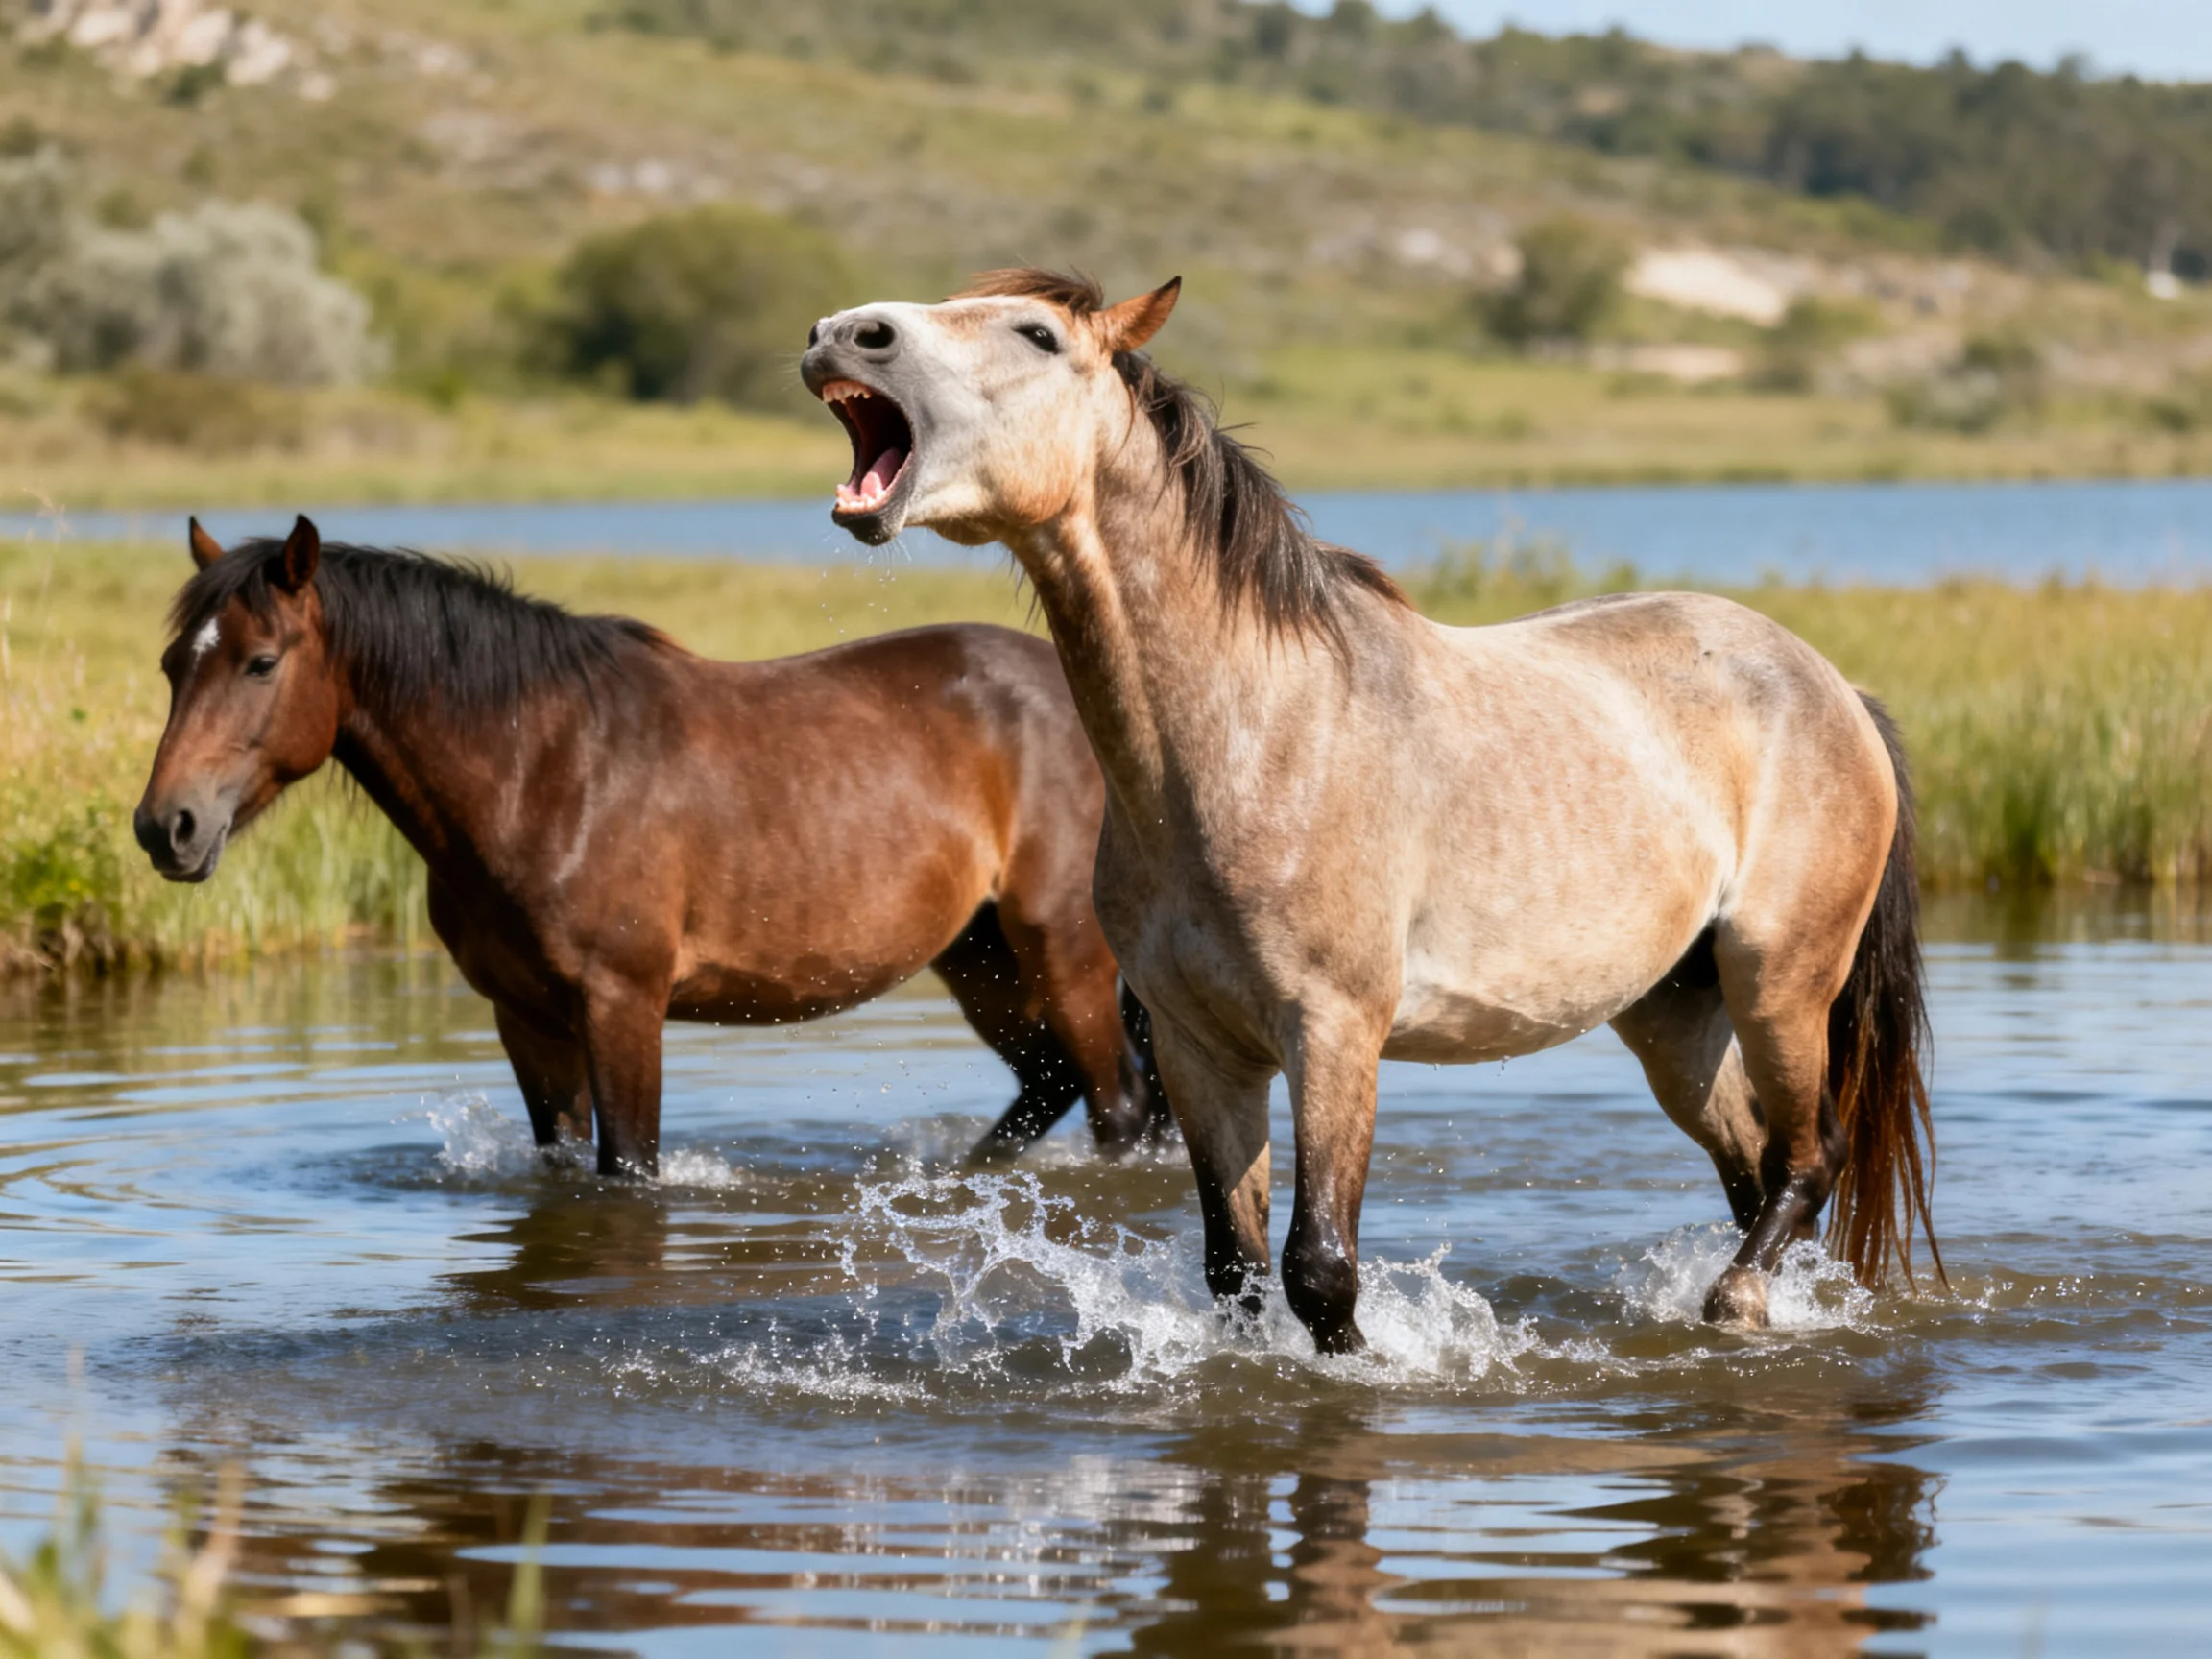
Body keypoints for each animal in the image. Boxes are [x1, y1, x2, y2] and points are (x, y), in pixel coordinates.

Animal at [135, 517, 1171, 1177]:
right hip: (981, 956)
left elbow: (626, 1167)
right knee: (1048, 1087)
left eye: (261, 662)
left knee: (1116, 1106)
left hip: (1063, 950)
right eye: (174, 662)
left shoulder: (622, 1006)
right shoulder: (528, 1017)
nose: (165, 826)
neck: (542, 770)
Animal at [798, 269, 1940, 1349]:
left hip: (1777, 979)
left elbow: (1320, 1265)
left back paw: (1735, 1302)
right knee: (1753, 1164)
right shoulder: (1200, 1047)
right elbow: (1235, 1266)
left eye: (1036, 335)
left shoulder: (1335, 1030)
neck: (1251, 741)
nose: (843, 334)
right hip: (1673, 1012)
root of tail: (1834, 687)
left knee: (1811, 1156)